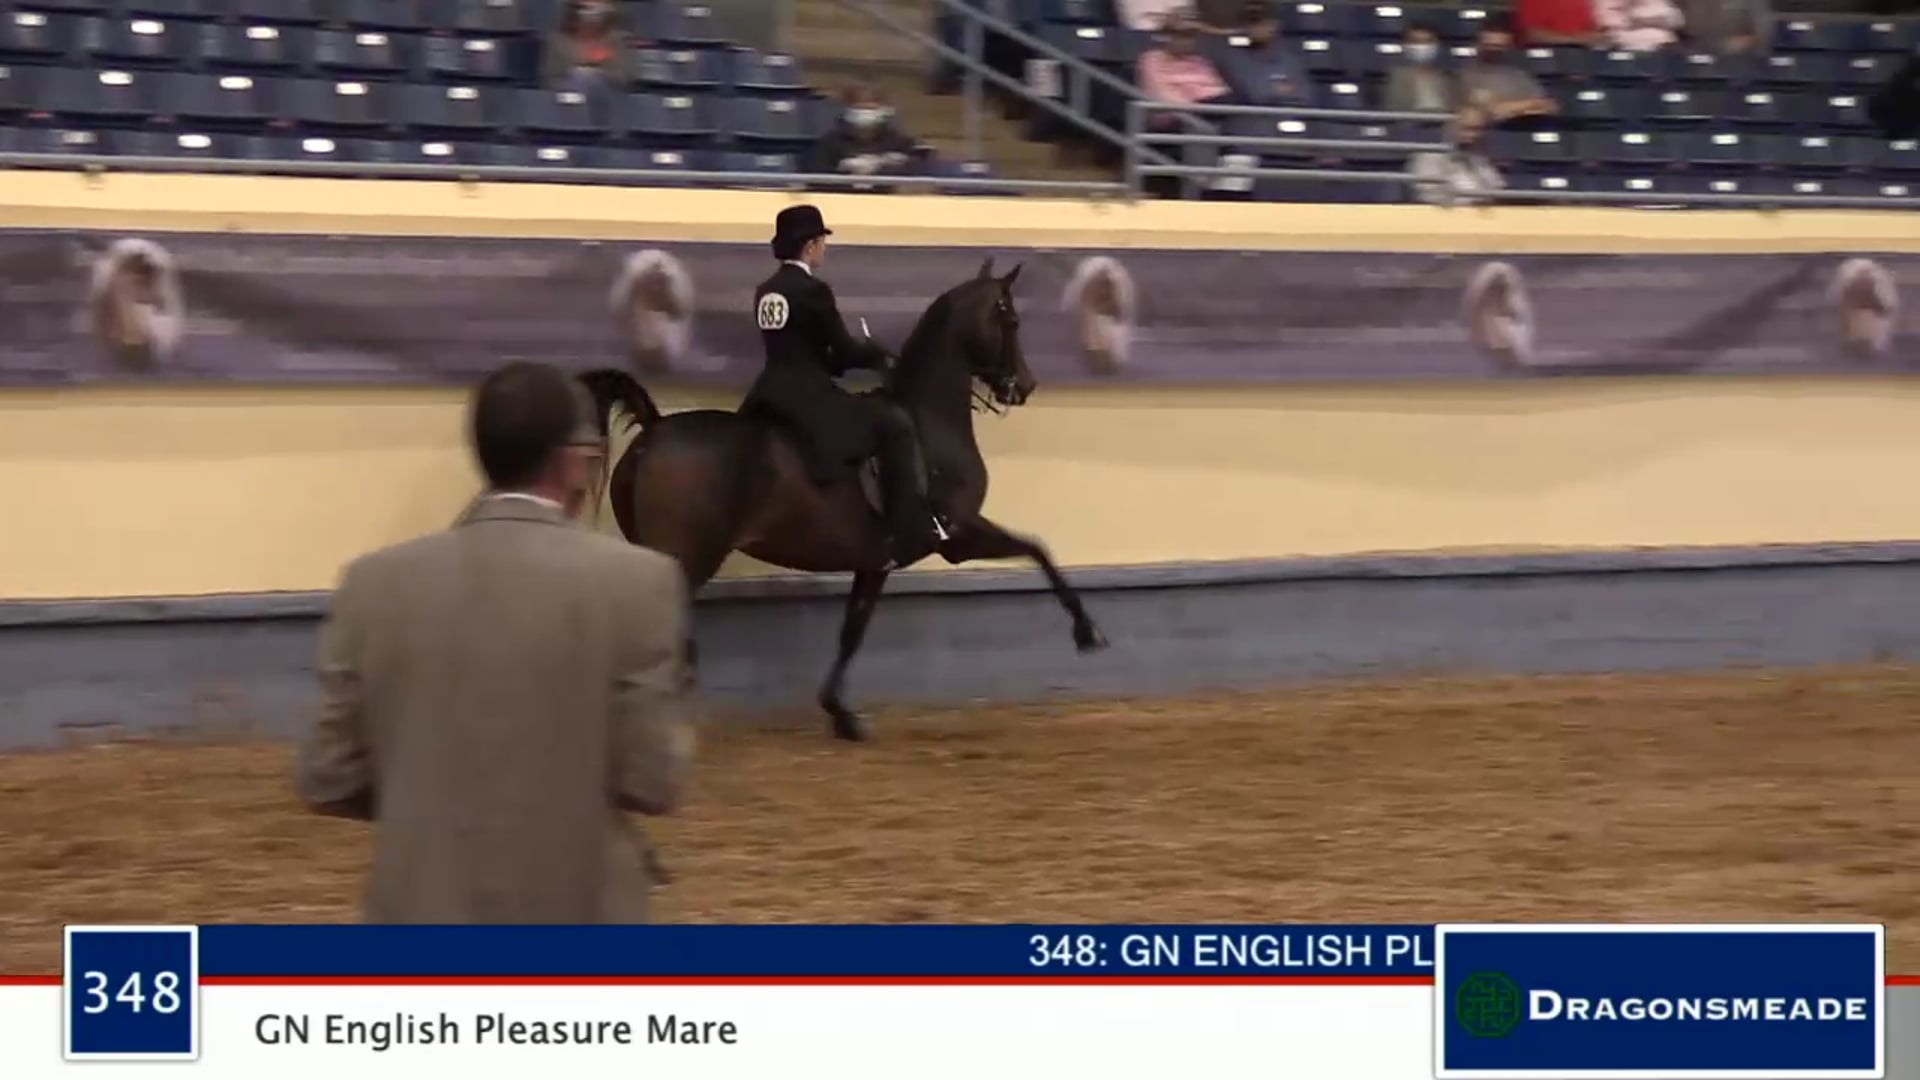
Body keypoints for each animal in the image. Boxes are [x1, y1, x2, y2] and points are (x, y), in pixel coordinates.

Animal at [577, 257, 1110, 742]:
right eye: (1011, 319)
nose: (1025, 385)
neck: (928, 419)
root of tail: (654, 431)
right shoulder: (957, 535)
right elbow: (1036, 548)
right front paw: (1088, 631)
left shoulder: (875, 561)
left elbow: (853, 630)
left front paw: (841, 714)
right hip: (687, 558)